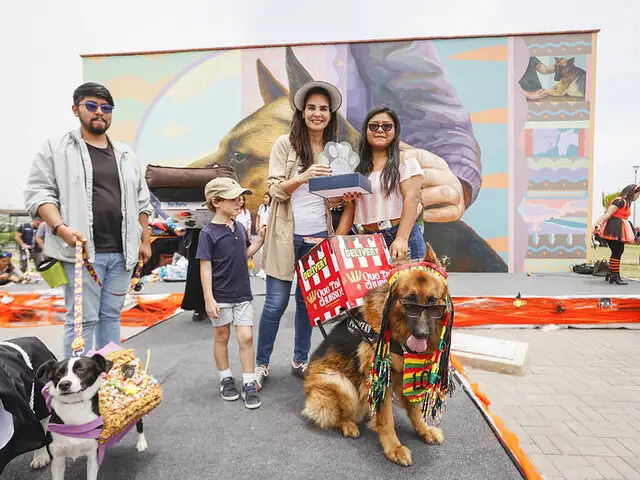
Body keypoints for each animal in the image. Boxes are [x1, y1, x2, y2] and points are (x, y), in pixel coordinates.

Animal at [37, 352, 148, 480]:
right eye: (58, 374)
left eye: (81, 369)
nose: (63, 384)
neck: (74, 407)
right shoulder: (57, 459)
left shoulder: (93, 456)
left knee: (139, 422)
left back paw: (141, 442)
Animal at [302, 244, 452, 464]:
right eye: (409, 302)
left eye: (433, 302)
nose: (422, 334)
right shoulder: (379, 381)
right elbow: (386, 419)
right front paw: (394, 448)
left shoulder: (408, 375)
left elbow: (415, 411)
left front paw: (424, 430)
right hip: (340, 383)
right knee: (330, 415)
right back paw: (347, 424)